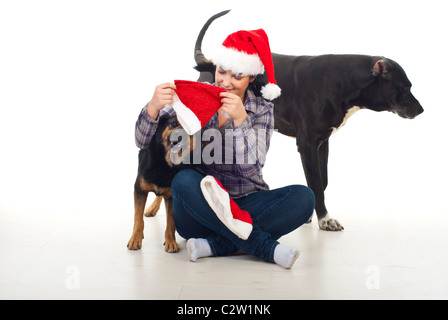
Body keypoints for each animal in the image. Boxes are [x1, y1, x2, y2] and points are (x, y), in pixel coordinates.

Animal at [128, 115, 194, 252]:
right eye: (173, 123)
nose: (180, 135)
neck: (166, 163)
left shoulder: (171, 196)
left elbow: (170, 222)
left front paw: (170, 242)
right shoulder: (139, 190)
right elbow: (138, 218)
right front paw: (135, 238)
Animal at [193, 10, 424, 230]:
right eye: (405, 87)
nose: (422, 110)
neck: (344, 81)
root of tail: (210, 63)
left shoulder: (323, 143)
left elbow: (321, 181)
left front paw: (312, 215)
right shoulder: (307, 144)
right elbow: (316, 182)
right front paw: (325, 219)